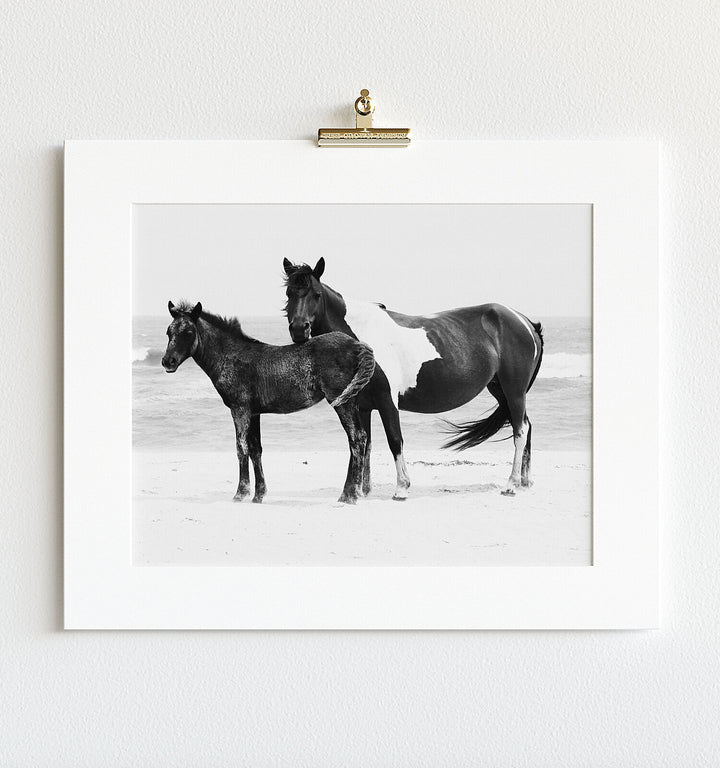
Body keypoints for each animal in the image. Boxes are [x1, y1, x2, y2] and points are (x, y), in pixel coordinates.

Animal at [161, 300, 375, 504]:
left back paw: (350, 496)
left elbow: (241, 447)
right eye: (169, 331)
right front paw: (258, 495)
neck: (231, 357)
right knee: (359, 438)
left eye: (189, 332)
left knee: (356, 438)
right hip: (350, 400)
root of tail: (357, 345)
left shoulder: (239, 409)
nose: (167, 361)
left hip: (342, 402)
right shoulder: (254, 412)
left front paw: (241, 493)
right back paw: (348, 492)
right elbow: (256, 449)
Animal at [283, 258, 544, 498]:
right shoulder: (363, 405)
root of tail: (525, 322)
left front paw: (401, 488)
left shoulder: (388, 401)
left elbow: (394, 440)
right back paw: (525, 481)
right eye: (289, 294)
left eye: (316, 294)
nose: (299, 329)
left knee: (520, 430)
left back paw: (511, 485)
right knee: (527, 426)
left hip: (514, 391)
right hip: (500, 391)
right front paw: (363, 490)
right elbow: (365, 443)